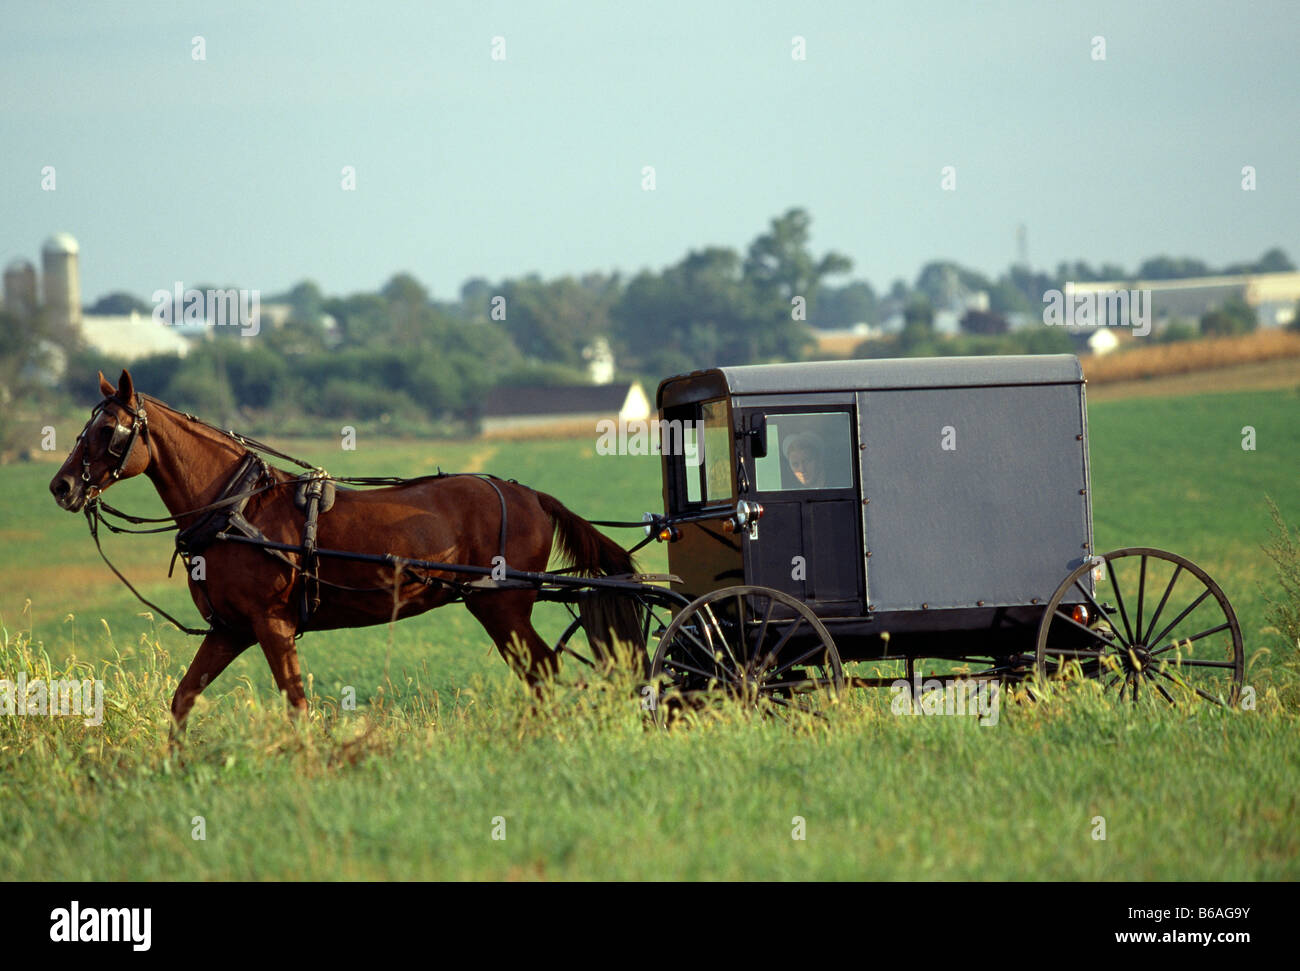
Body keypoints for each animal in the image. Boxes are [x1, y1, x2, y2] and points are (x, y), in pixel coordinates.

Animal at [49, 371, 634, 727]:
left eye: (109, 428)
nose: (61, 486)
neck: (239, 507)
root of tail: (529, 494)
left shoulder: (271, 623)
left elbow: (296, 702)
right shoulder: (231, 629)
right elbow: (183, 699)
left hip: (503, 604)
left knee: (542, 671)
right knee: (539, 672)